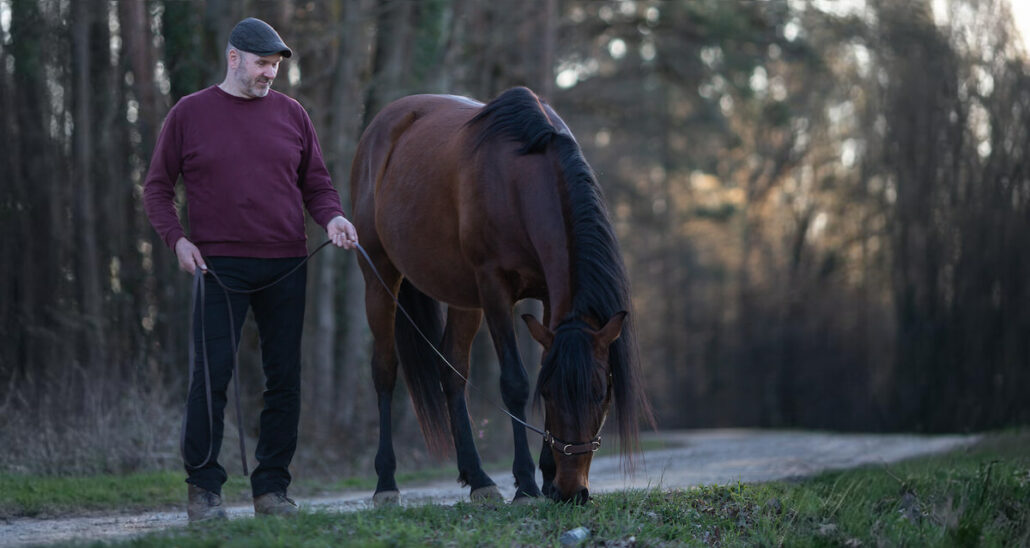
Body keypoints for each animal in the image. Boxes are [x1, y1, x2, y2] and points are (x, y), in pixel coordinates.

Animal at [350, 84, 646, 504]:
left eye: (601, 391)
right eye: (551, 394)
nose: (572, 491)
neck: (519, 182)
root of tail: (381, 127)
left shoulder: (549, 297)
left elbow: (537, 365)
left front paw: (546, 476)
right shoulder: (494, 289)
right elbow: (515, 383)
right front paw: (526, 483)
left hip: (462, 297)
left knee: (452, 372)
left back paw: (479, 479)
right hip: (380, 276)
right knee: (385, 370)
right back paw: (386, 483)